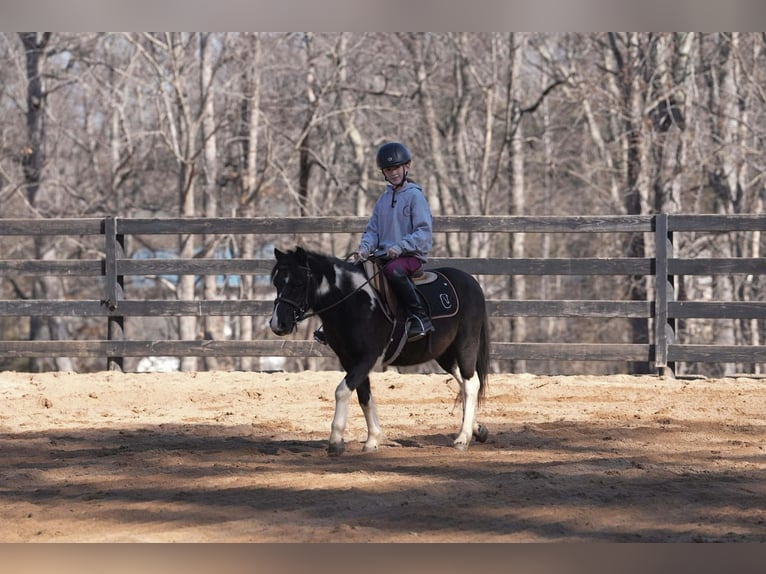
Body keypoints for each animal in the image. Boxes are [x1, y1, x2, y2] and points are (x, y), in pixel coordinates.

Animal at [269, 246, 490, 456]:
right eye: (277, 283)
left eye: (298, 283)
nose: (277, 324)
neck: (352, 302)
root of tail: (471, 282)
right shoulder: (349, 359)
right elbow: (364, 395)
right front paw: (373, 440)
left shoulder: (368, 357)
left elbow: (342, 391)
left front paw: (336, 441)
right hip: (445, 353)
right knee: (463, 383)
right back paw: (477, 429)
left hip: (466, 344)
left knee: (471, 384)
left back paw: (463, 438)